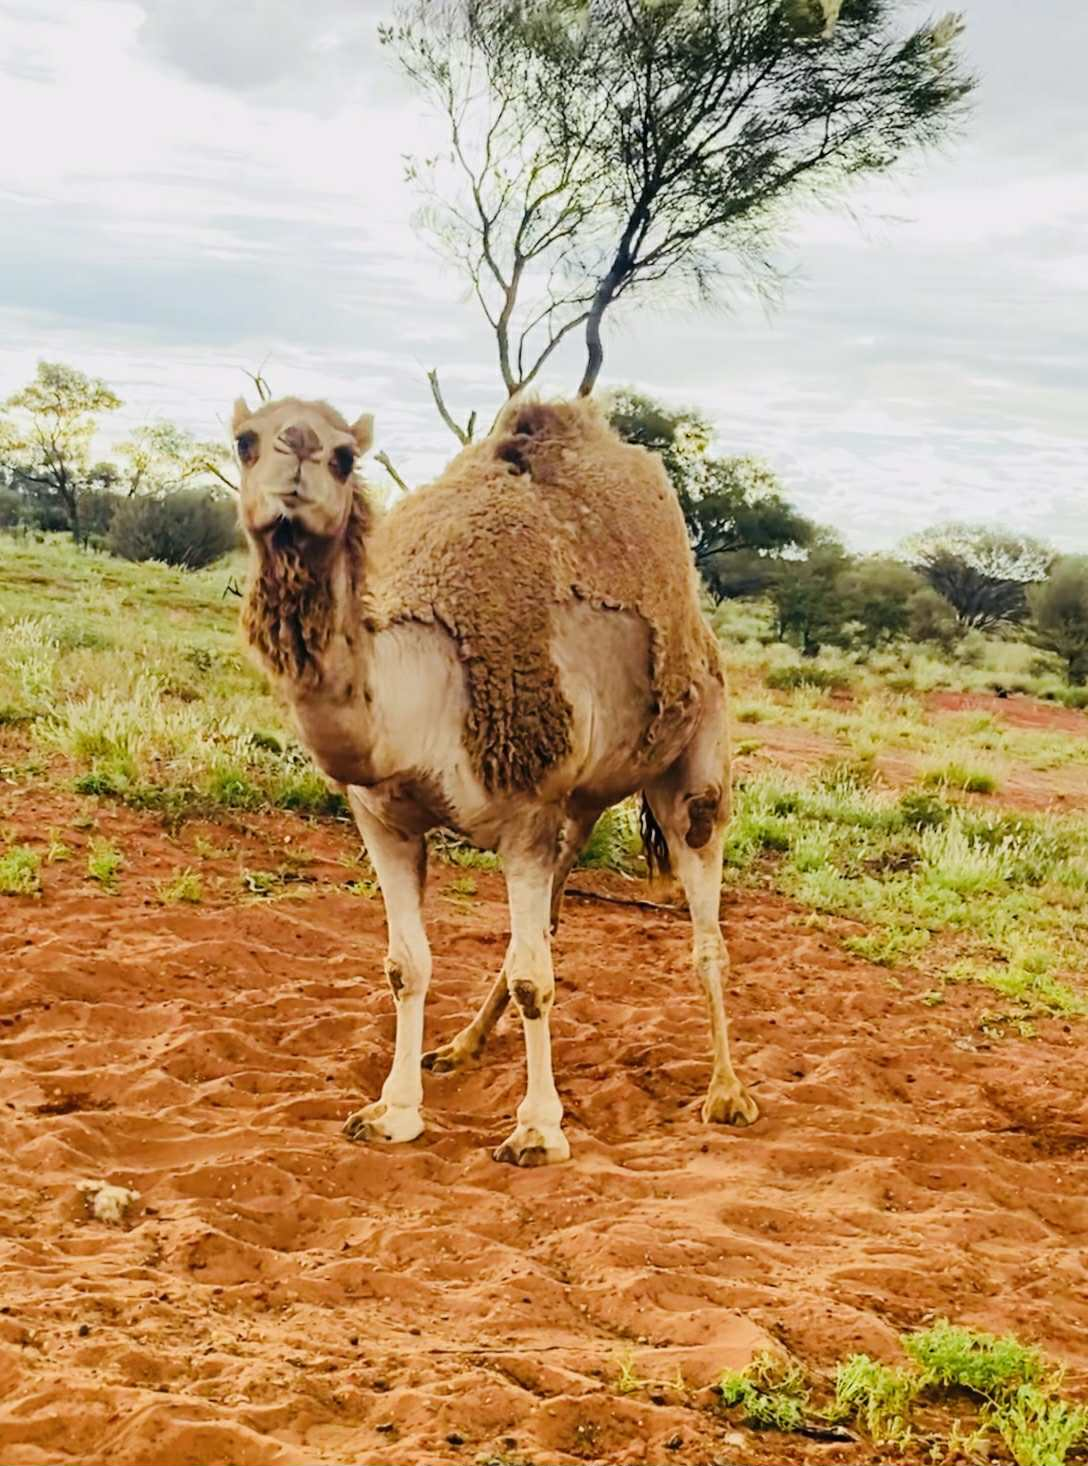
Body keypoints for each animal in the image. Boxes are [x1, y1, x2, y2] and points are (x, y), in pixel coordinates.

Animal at [233, 392, 758, 1165]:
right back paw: (460, 1047)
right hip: (580, 800)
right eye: (246, 440)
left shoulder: (524, 813)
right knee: (555, 912)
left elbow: (534, 977)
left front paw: (537, 1130)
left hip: (691, 766)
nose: (296, 453)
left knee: (705, 930)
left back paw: (727, 1093)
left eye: (344, 456)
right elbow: (407, 964)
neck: (421, 692)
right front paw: (393, 1110)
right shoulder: (386, 819)